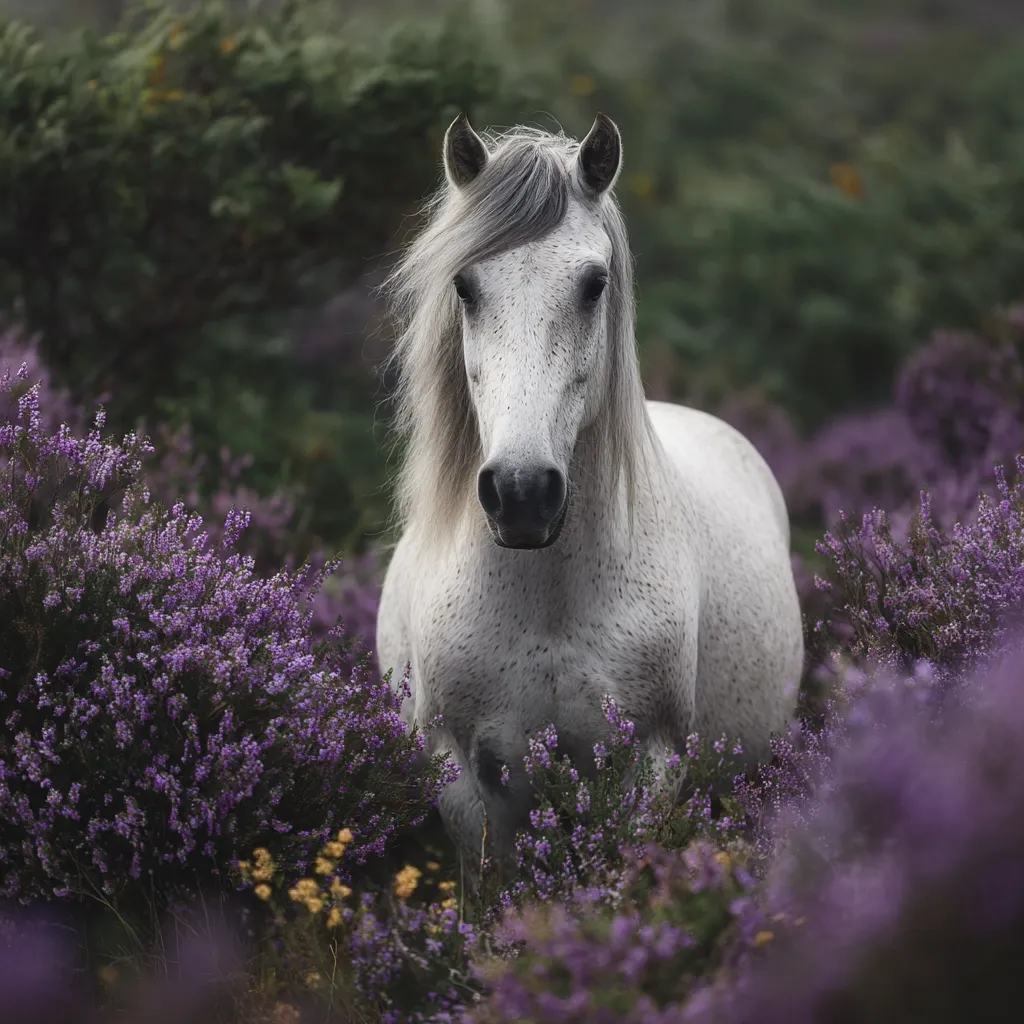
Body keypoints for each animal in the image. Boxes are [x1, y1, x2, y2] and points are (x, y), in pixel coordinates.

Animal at [376, 112, 804, 871]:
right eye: (465, 287)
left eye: (593, 284)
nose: (521, 493)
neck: (549, 594)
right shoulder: (464, 782)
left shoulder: (649, 766)